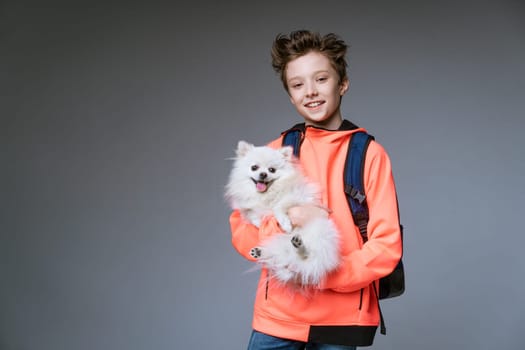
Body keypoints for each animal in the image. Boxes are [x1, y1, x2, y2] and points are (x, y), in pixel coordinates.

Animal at [224, 141, 340, 286]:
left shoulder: (297, 196)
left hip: (321, 231)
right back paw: (260, 252)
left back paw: (299, 245)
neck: (267, 195)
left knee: (309, 255)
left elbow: (279, 206)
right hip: (281, 247)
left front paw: (285, 223)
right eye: (254, 167)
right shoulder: (247, 206)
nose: (263, 174)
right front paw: (258, 222)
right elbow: (251, 213)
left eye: (272, 170)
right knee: (277, 255)